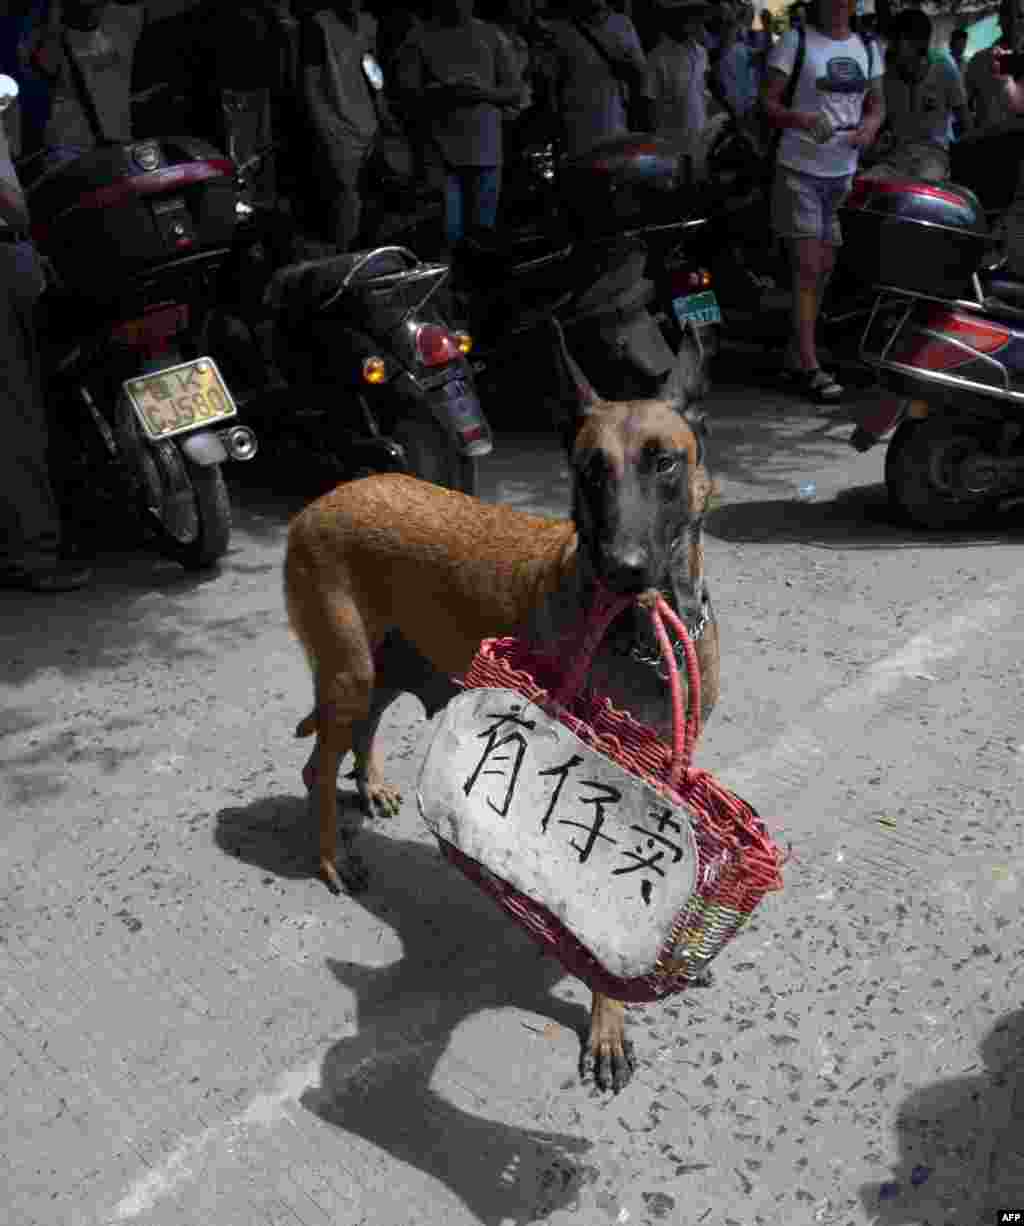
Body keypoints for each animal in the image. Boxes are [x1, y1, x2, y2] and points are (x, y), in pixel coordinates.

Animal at [284, 326, 721, 1093]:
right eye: (590, 471)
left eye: (663, 462)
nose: (624, 568)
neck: (641, 632)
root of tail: (324, 499)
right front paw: (609, 1020)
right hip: (348, 672)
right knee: (317, 767)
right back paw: (333, 855)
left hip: (388, 665)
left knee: (362, 730)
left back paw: (371, 785)